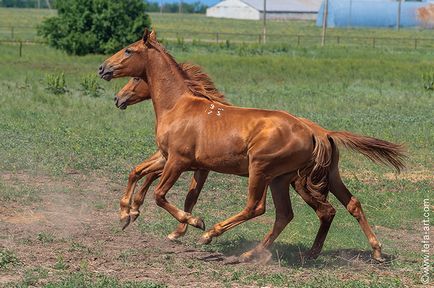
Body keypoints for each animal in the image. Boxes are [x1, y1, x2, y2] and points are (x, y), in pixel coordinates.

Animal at [100, 29, 406, 264]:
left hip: (263, 170)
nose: (103, 69)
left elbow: (162, 195)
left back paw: (212, 235)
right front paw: (127, 214)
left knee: (258, 208)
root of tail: (317, 133)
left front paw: (192, 223)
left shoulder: (179, 161)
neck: (179, 106)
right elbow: (139, 173)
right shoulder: (171, 159)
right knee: (314, 210)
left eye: (128, 51)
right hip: (295, 178)